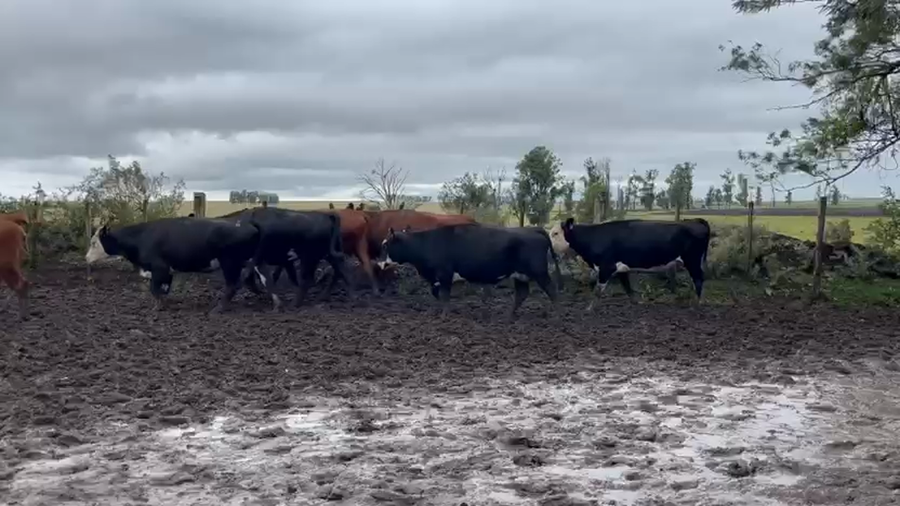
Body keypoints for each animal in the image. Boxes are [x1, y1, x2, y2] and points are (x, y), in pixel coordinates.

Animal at [84, 217, 260, 312]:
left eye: (93, 242)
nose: (86, 258)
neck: (141, 237)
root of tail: (248, 224)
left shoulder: (159, 268)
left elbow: (154, 289)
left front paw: (158, 306)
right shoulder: (166, 271)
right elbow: (163, 289)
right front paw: (164, 304)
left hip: (229, 262)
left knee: (232, 285)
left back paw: (218, 308)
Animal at [379, 223, 561, 319]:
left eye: (386, 245)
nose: (380, 263)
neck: (426, 243)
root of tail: (532, 228)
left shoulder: (445, 274)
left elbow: (444, 295)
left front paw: (444, 315)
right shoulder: (437, 278)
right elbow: (437, 294)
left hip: (539, 272)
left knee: (552, 290)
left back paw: (556, 315)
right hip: (520, 275)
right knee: (522, 294)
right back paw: (508, 315)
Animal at [549, 217, 710, 306]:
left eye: (555, 233)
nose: (548, 245)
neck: (594, 236)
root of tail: (695, 220)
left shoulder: (606, 267)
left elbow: (597, 291)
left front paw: (589, 310)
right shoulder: (621, 269)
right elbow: (628, 289)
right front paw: (636, 304)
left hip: (692, 260)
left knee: (698, 280)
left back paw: (697, 303)